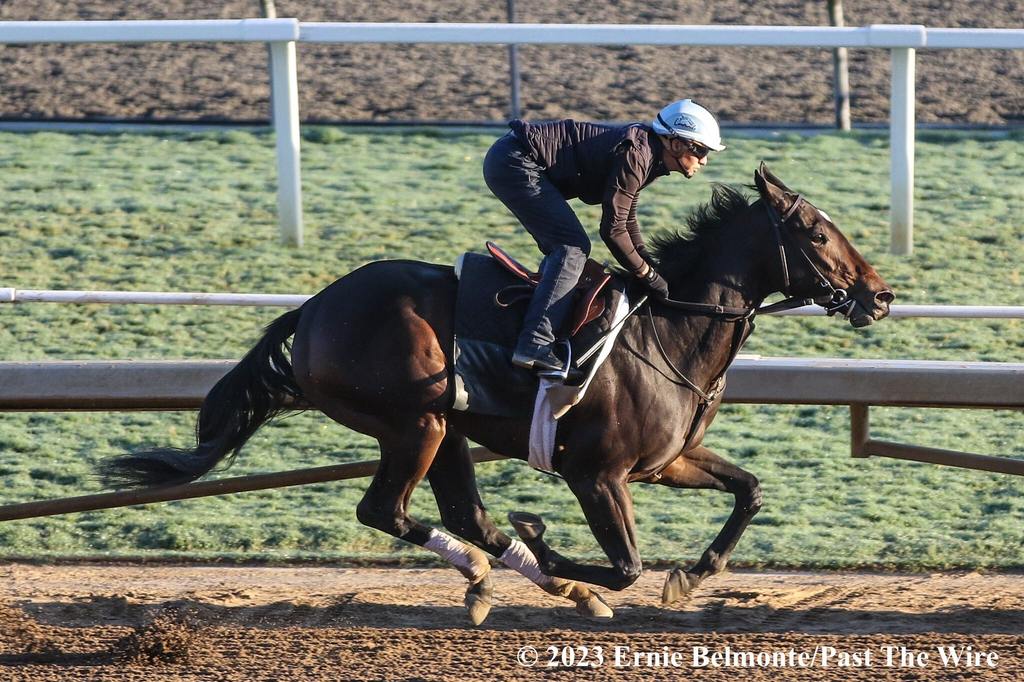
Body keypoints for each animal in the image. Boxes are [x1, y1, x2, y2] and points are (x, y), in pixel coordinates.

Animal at [99, 163, 892, 622]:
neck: (671, 326)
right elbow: (625, 567)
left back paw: (497, 578)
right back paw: (520, 574)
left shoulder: (664, 463)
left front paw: (693, 575)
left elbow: (748, 492)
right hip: (413, 423)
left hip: (445, 429)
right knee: (387, 510)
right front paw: (558, 549)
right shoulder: (595, 473)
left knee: (462, 517)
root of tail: (316, 307)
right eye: (817, 234)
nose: (880, 296)